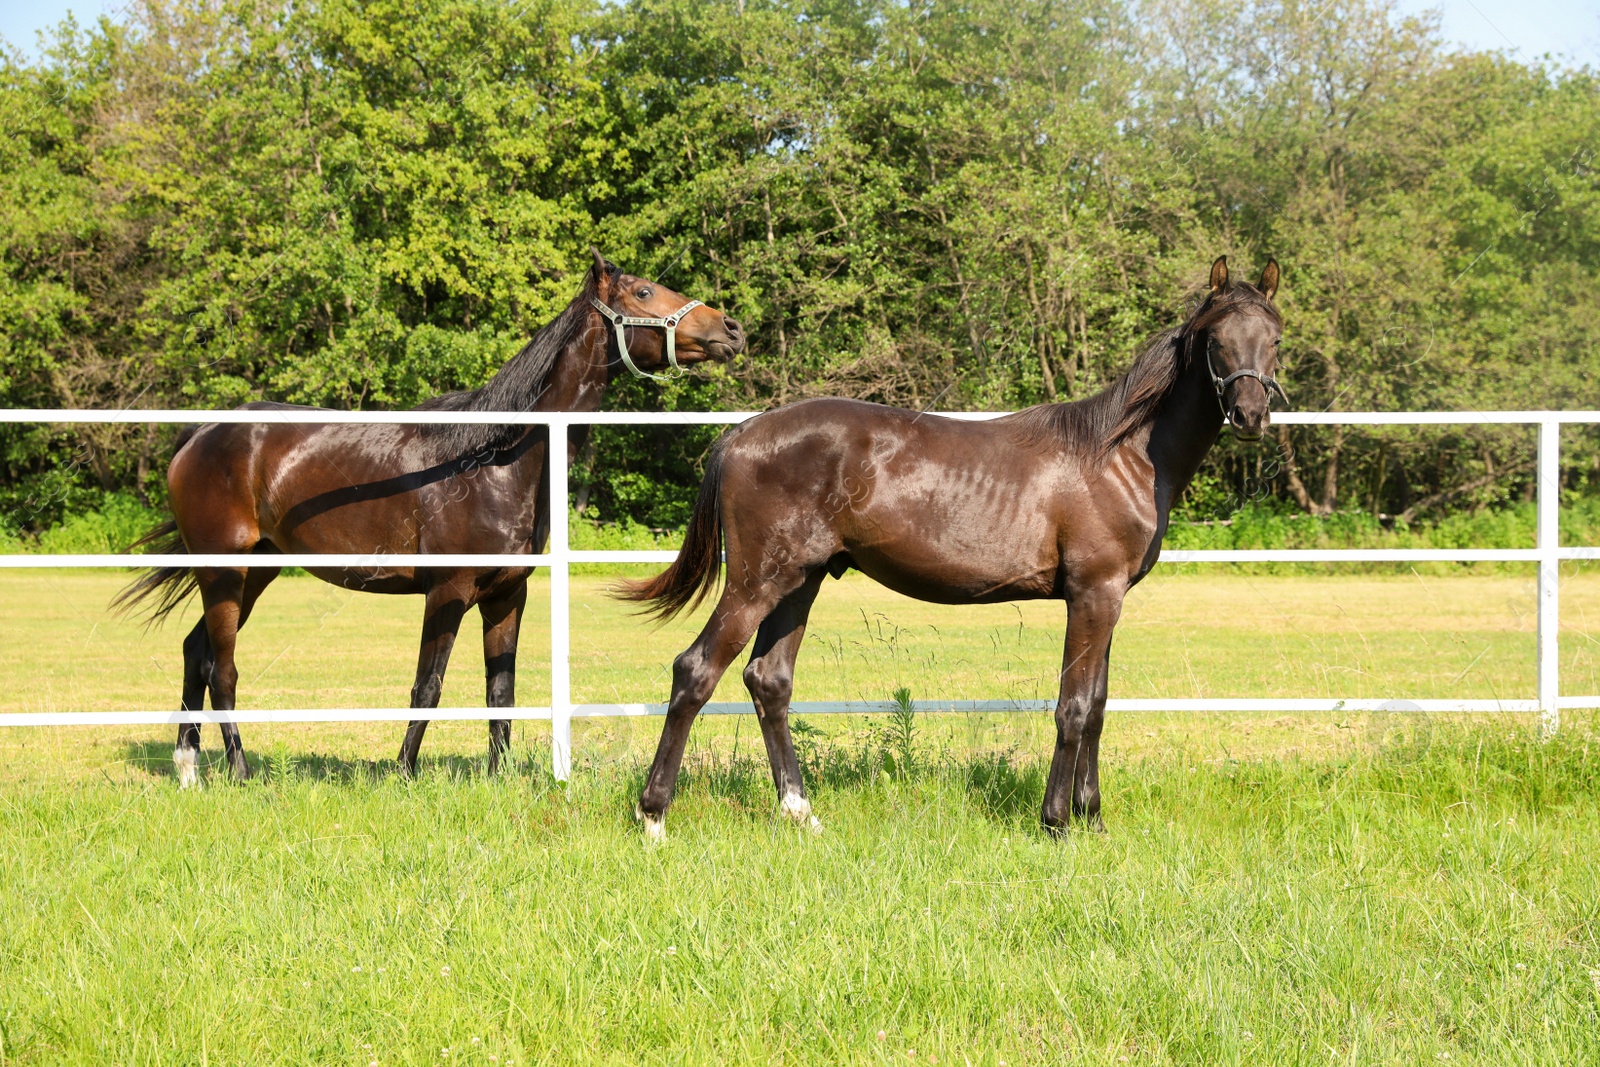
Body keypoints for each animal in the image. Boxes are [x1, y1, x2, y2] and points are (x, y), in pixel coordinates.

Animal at [118, 251, 742, 783]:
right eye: (644, 291)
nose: (730, 329)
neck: (497, 459)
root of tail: (201, 433)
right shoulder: (447, 591)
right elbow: (428, 685)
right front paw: (403, 774)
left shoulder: (505, 595)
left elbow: (500, 692)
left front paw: (498, 778)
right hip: (223, 572)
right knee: (222, 669)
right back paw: (241, 773)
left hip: (254, 573)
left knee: (196, 651)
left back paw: (188, 769)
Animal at [617, 255, 1280, 831]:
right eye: (1215, 339)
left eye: (1274, 337)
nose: (1250, 414)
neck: (1121, 453)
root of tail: (742, 431)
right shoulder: (1092, 595)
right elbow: (1072, 707)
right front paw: (1057, 822)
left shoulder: (1111, 598)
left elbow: (1096, 706)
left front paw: (1092, 818)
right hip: (757, 581)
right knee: (696, 671)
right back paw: (654, 817)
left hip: (800, 581)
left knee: (769, 681)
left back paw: (801, 814)